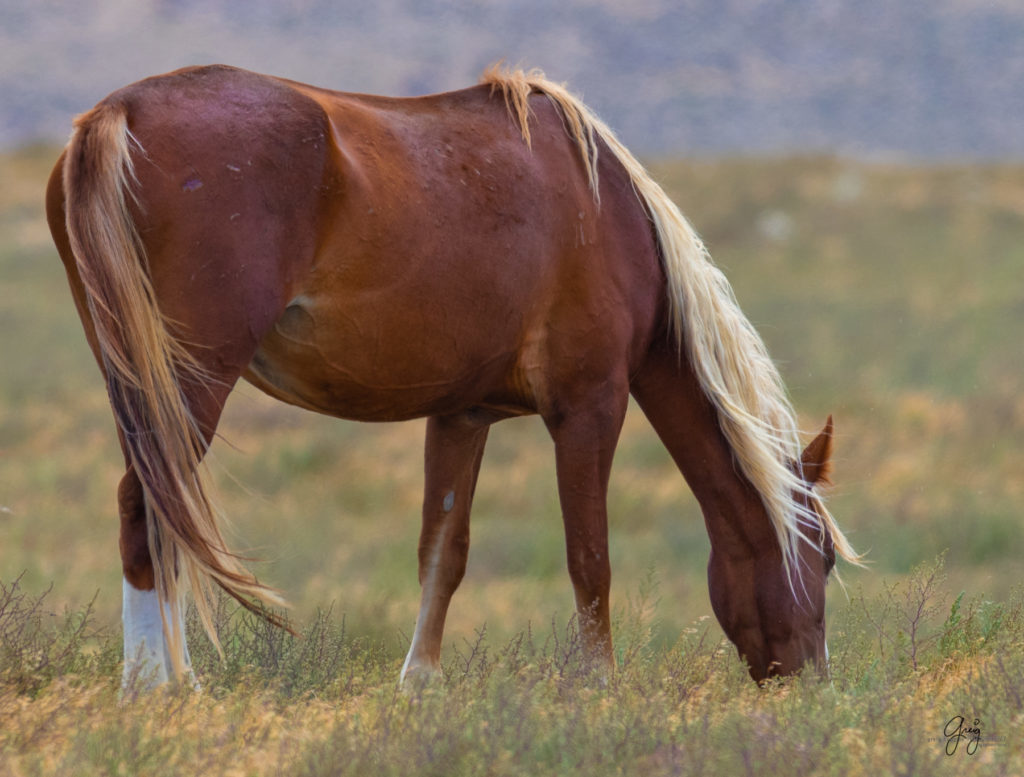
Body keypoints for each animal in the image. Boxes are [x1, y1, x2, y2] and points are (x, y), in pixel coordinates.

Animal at [44, 65, 856, 687]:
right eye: (819, 559)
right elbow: (589, 558)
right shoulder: (590, 408)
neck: (609, 216)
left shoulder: (462, 414)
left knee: (159, 515)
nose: (814, 684)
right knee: (148, 511)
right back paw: (156, 687)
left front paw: (419, 685)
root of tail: (120, 112)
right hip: (191, 383)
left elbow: (444, 555)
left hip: (137, 382)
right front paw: (600, 687)